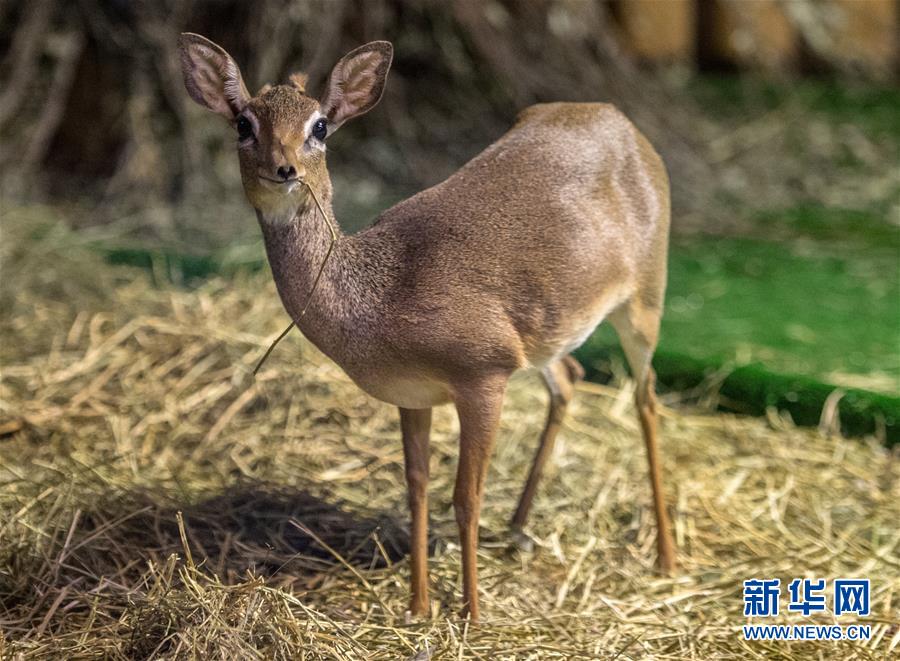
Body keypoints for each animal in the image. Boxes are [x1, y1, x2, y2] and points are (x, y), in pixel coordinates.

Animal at [181, 33, 676, 620]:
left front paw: (472, 613)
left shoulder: (483, 374)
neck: (382, 299)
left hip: (646, 295)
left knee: (646, 397)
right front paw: (419, 605)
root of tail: (620, 119)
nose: (284, 169)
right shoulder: (412, 393)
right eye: (243, 124)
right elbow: (416, 488)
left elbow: (466, 497)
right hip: (550, 332)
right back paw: (519, 528)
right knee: (570, 378)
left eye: (319, 126)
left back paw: (666, 557)